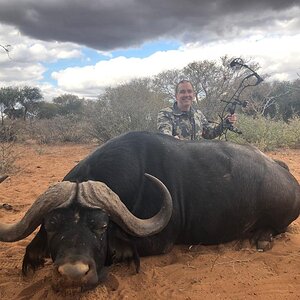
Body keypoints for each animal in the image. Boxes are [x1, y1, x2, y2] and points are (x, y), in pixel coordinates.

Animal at [0, 132, 300, 290]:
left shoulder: (158, 242)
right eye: (51, 226)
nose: (72, 275)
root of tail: (283, 171)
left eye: (101, 226)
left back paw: (262, 239)